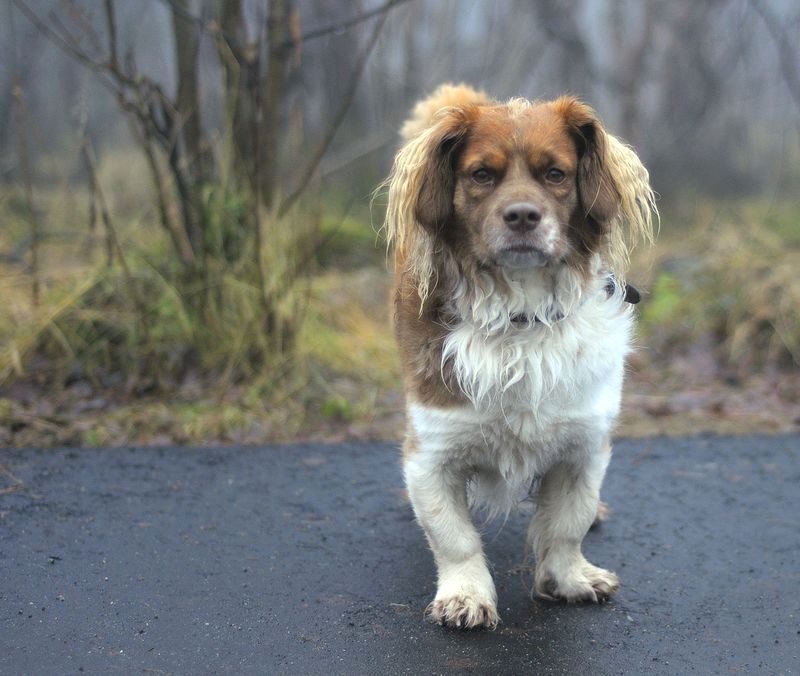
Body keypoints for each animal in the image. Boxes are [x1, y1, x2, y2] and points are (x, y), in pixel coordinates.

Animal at [382, 83, 656, 628]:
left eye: (556, 174)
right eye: (481, 175)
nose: (523, 216)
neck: (519, 315)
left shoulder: (585, 444)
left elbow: (568, 521)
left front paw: (569, 578)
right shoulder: (432, 449)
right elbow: (454, 536)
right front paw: (465, 596)